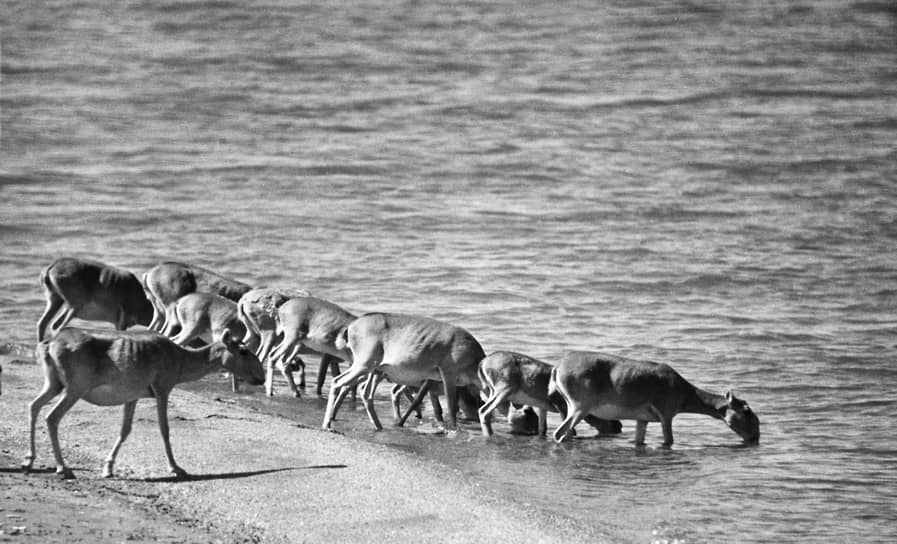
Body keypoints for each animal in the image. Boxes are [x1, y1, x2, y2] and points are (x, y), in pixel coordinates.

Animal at [22, 328, 262, 476]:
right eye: (243, 350)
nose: (261, 376)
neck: (182, 361)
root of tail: (50, 343)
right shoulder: (163, 388)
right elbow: (164, 429)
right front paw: (175, 467)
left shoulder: (133, 396)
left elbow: (125, 430)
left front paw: (108, 467)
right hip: (75, 388)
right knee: (51, 417)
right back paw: (62, 467)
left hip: (54, 384)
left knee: (34, 405)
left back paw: (29, 459)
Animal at [548, 352, 760, 446]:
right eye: (747, 412)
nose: (756, 438)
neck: (684, 392)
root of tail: (557, 367)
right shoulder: (667, 414)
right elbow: (669, 440)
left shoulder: (642, 420)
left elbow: (639, 440)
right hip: (580, 407)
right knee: (559, 434)